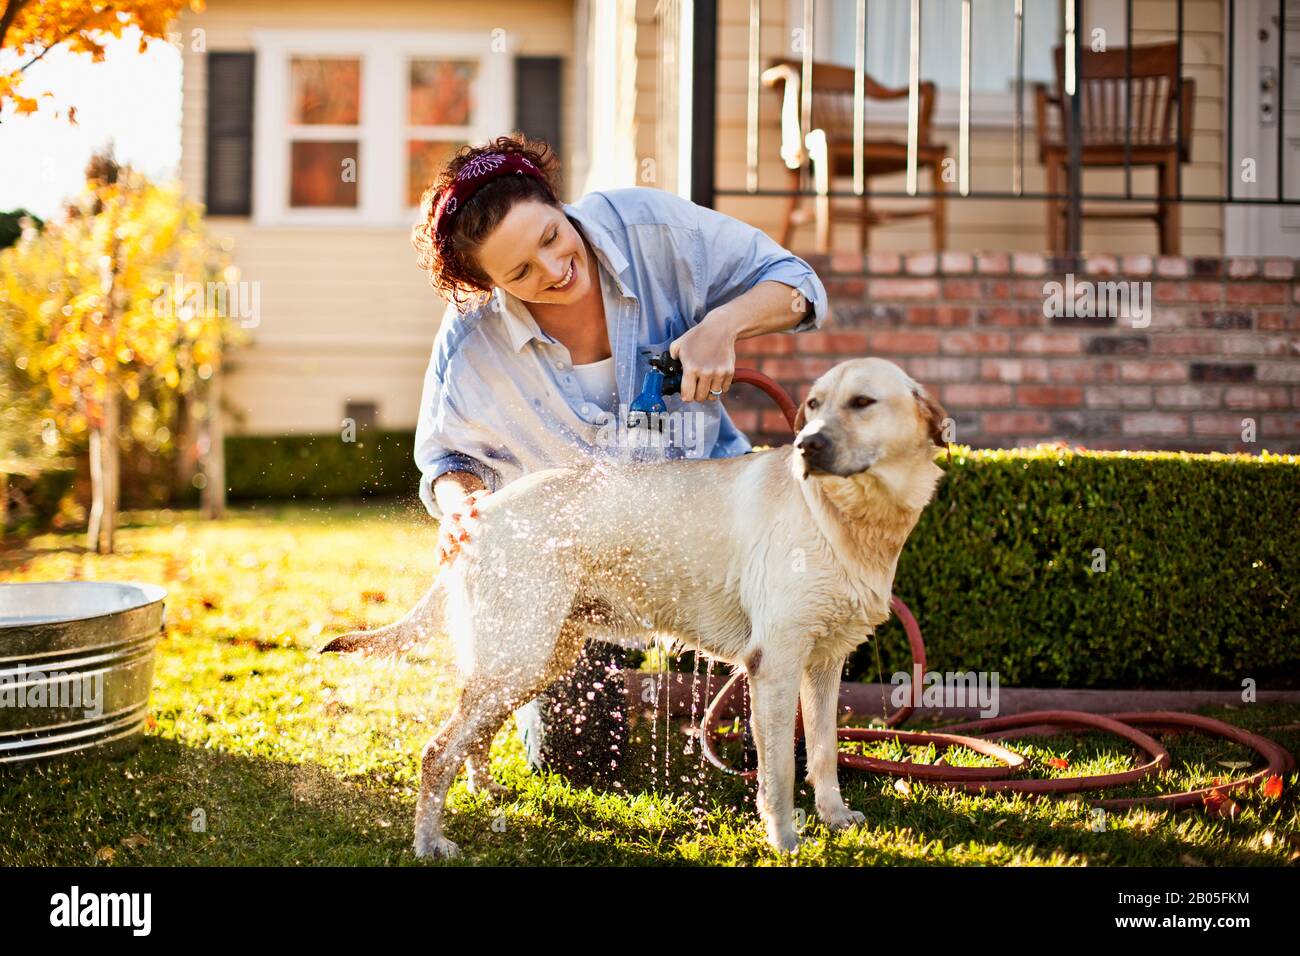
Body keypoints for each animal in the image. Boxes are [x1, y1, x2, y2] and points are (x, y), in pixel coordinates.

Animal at [319, 356, 951, 858]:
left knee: (470, 734)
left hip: (533, 660)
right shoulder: (774, 665)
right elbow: (777, 772)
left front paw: (835, 818)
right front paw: (785, 840)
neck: (850, 516)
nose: (806, 445)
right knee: (436, 750)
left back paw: (485, 792)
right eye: (813, 405)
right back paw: (430, 841)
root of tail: (481, 513)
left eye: (862, 402)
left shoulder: (824, 663)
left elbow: (821, 753)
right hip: (518, 657)